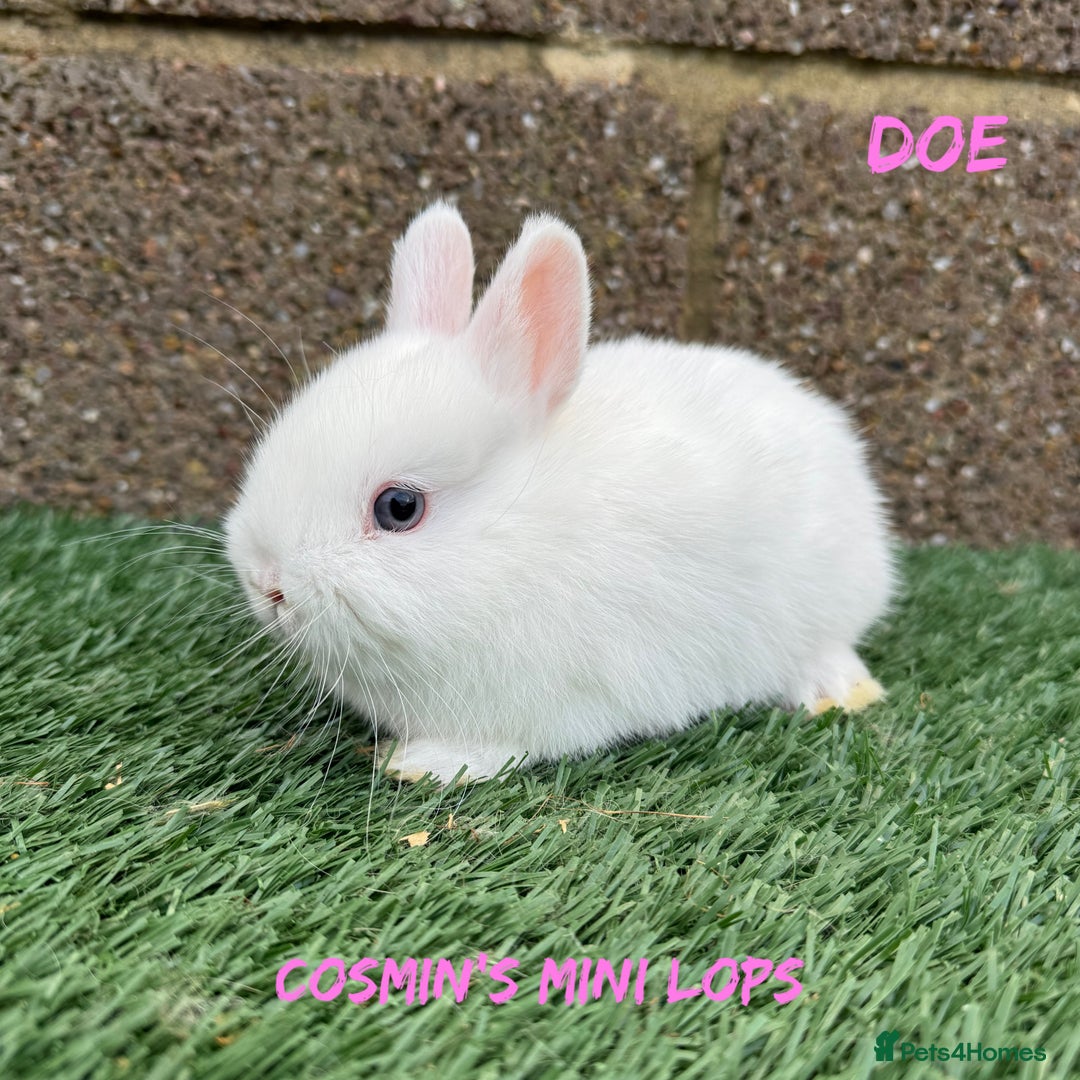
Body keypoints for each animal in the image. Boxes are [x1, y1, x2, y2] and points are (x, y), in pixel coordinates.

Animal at [224, 201, 896, 785]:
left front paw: (421, 764)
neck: (516, 539)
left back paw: (837, 690)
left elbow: (501, 748)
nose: (266, 583)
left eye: (399, 507)